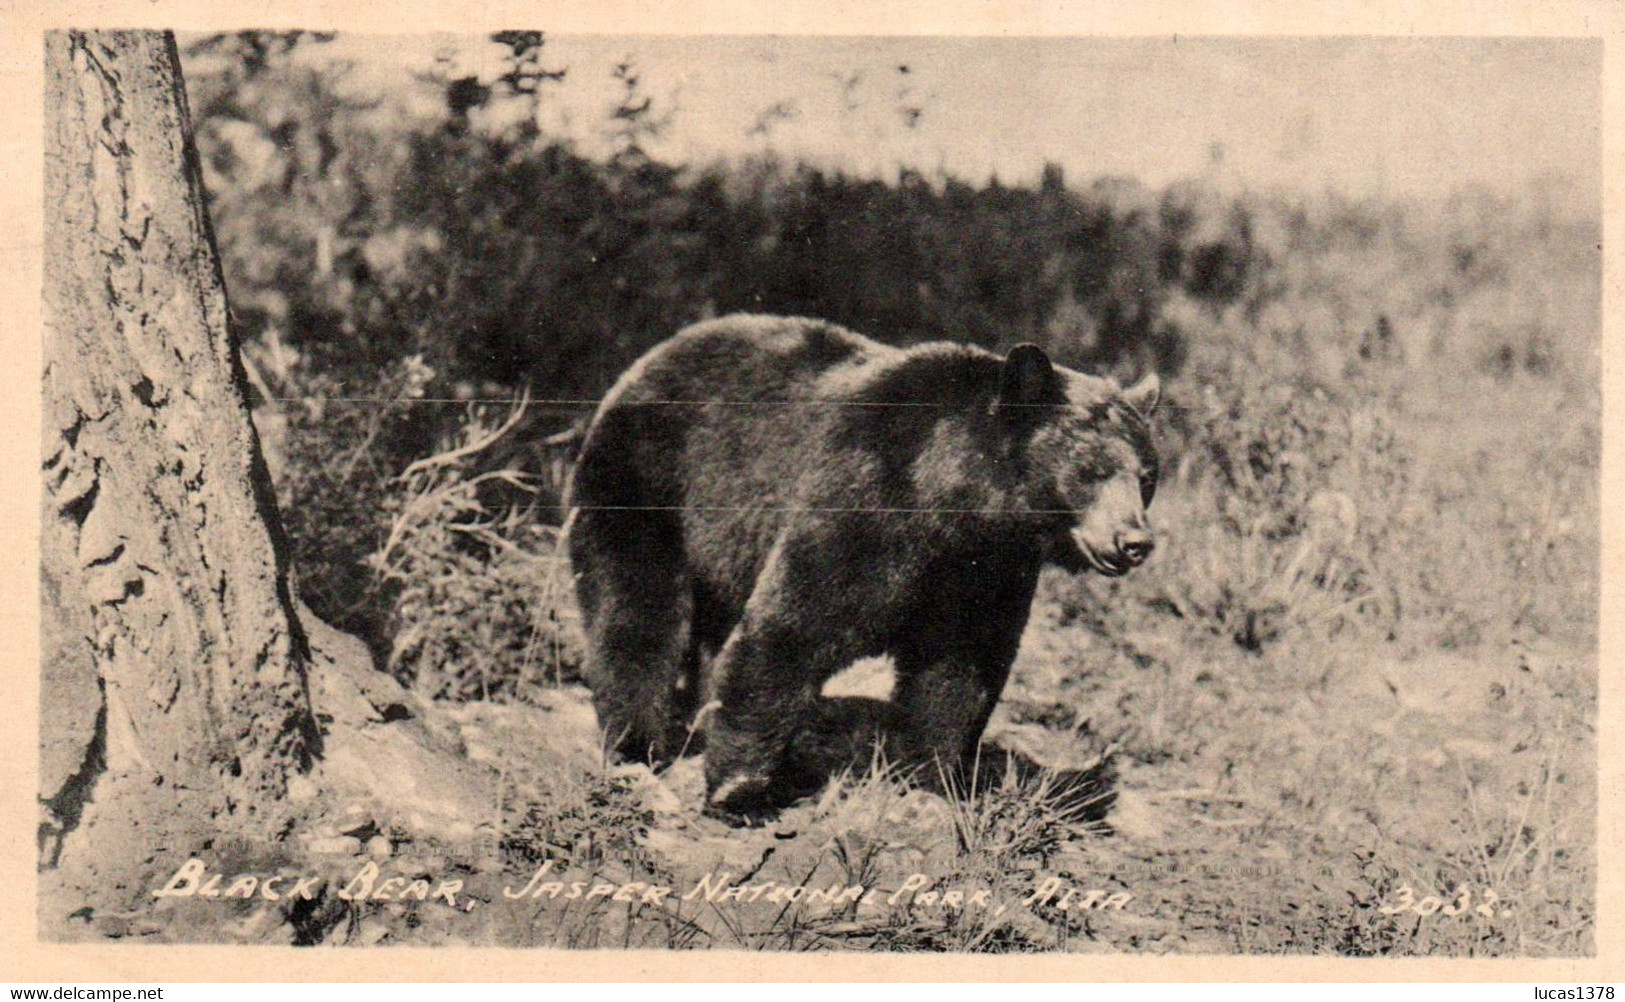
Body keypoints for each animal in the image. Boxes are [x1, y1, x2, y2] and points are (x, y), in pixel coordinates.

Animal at [565, 316, 1163, 815]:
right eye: (1091, 470)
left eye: (1147, 475)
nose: (1134, 541)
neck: (951, 500)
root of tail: (652, 357)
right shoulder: (865, 499)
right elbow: (791, 626)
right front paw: (739, 787)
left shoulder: (984, 568)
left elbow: (960, 668)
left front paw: (934, 779)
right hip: (648, 483)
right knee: (636, 610)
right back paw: (636, 744)